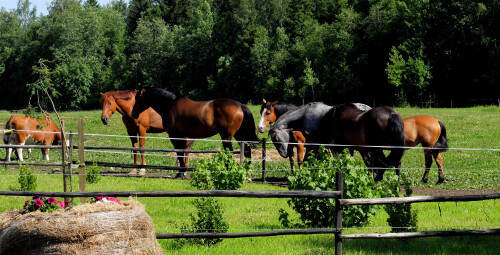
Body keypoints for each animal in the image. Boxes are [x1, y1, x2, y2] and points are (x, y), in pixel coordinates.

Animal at [131, 86, 260, 178]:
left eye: (137, 98)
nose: (133, 113)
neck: (170, 105)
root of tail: (240, 105)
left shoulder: (174, 136)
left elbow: (179, 153)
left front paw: (180, 174)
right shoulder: (182, 136)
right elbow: (182, 152)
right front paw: (182, 172)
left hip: (226, 136)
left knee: (230, 152)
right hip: (240, 136)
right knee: (247, 151)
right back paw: (247, 173)